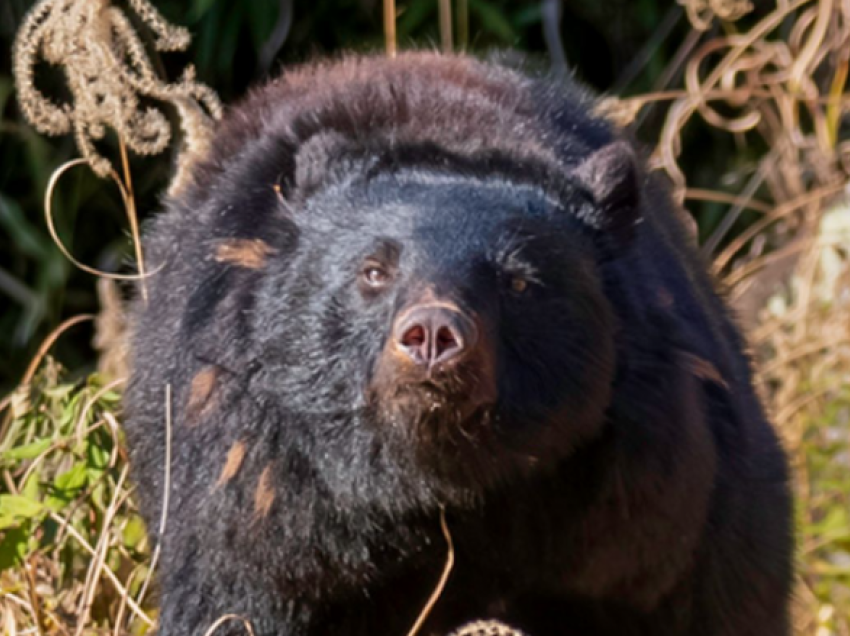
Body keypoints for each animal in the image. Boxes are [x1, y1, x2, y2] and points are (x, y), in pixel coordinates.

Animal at [124, 53, 788, 636]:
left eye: (518, 280)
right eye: (374, 271)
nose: (433, 335)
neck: (446, 488)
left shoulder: (652, 518)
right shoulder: (256, 497)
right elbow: (235, 601)